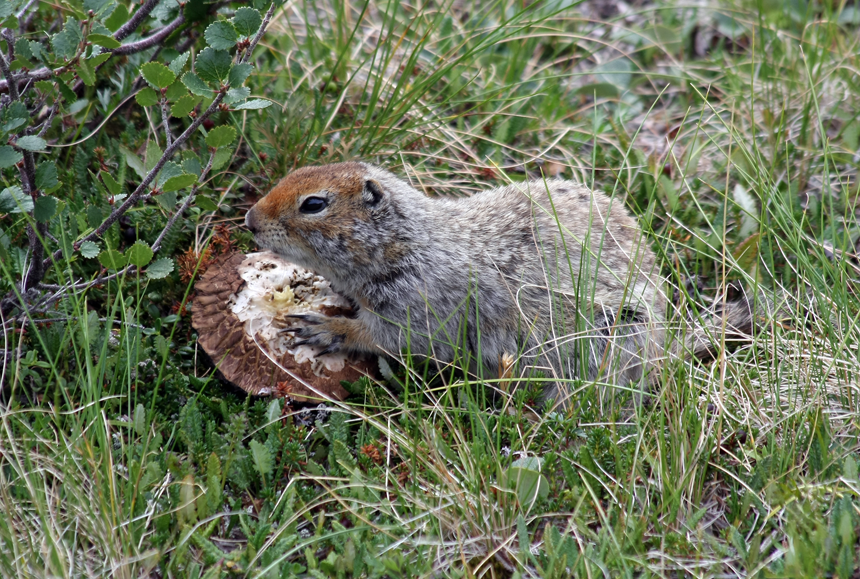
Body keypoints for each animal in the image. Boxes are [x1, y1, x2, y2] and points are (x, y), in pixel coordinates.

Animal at [244, 162, 758, 406]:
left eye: (314, 204)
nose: (249, 219)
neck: (407, 242)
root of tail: (665, 345)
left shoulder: (421, 305)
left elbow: (387, 336)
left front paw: (322, 328)